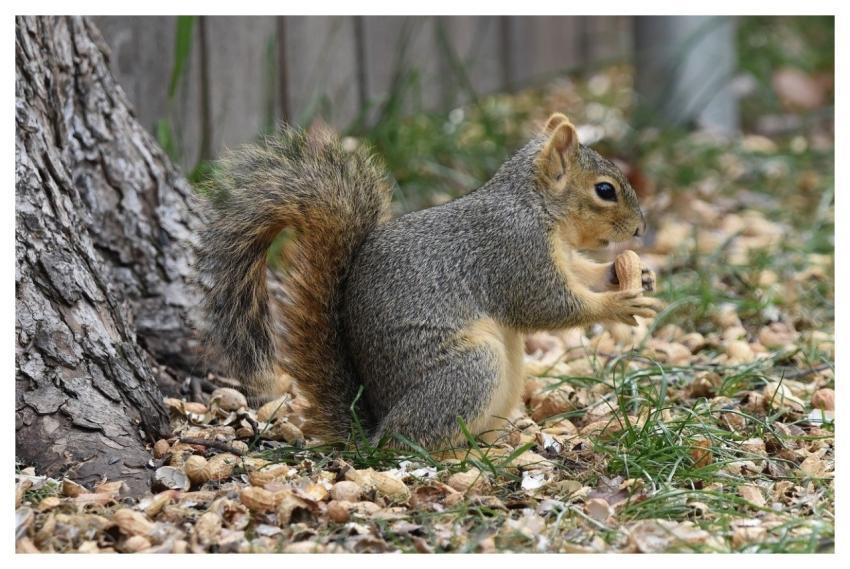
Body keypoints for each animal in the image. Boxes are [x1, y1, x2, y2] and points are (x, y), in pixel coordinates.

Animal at [197, 112, 661, 448]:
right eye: (605, 190)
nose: (640, 229)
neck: (537, 207)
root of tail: (374, 433)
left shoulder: (559, 254)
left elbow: (582, 272)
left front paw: (628, 274)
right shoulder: (514, 250)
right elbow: (546, 306)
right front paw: (619, 303)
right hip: (468, 372)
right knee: (421, 444)